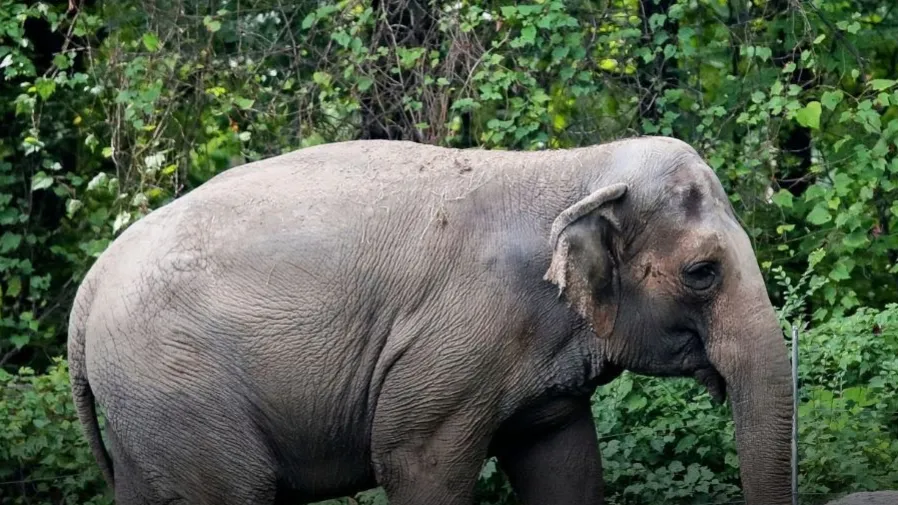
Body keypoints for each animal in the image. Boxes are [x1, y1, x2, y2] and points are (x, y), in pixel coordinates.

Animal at [68, 135, 794, 505]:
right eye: (702, 272)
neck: (570, 167)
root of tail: (87, 292)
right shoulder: (458, 339)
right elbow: (418, 463)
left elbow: (566, 463)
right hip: (179, 389)